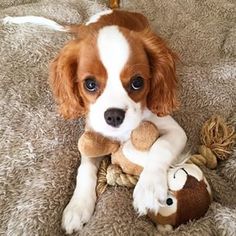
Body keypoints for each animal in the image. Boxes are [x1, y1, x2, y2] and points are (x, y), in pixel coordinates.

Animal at [3, 9, 187, 234]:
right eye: (89, 84)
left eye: (137, 82)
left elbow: (161, 146)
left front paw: (149, 187)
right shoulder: (92, 134)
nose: (114, 116)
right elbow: (85, 169)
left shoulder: (174, 129)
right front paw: (78, 205)